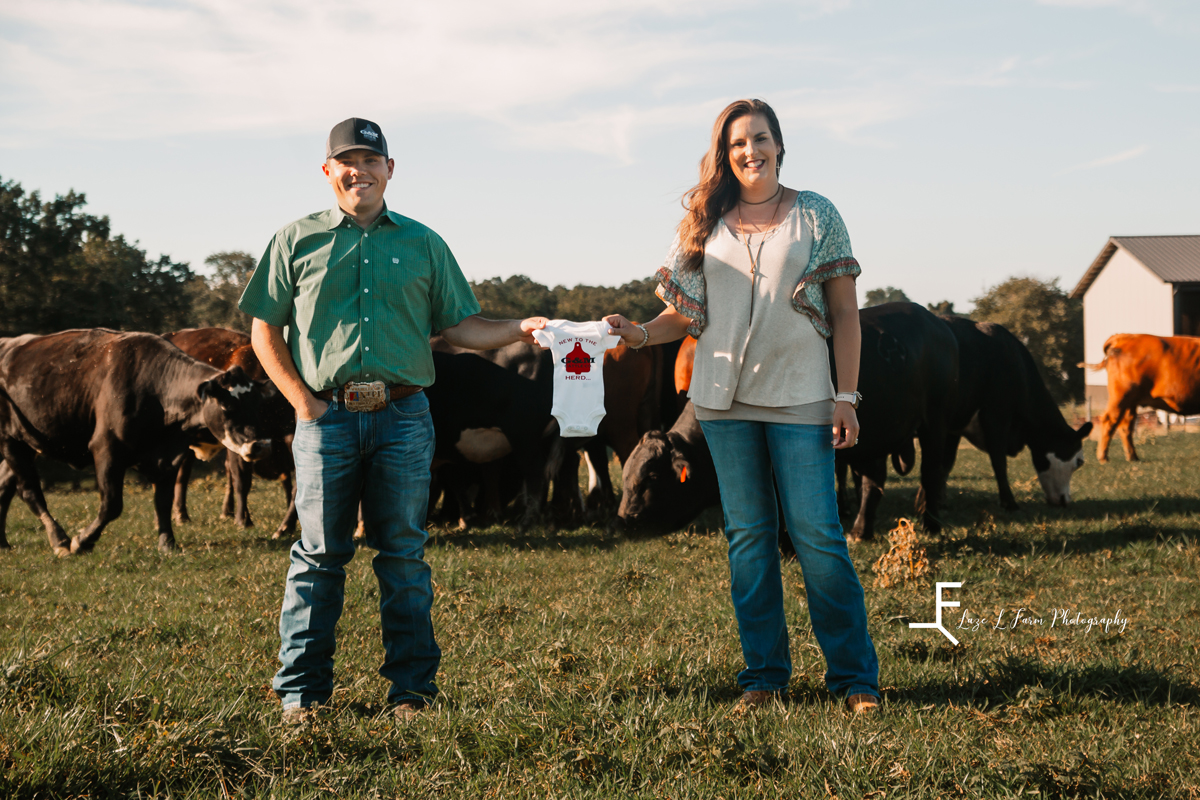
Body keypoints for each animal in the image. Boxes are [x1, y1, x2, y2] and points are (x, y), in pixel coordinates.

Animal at [0, 328, 271, 554]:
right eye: (228, 406)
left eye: (258, 405)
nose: (261, 445)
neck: (156, 390)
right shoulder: (106, 449)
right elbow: (111, 504)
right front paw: (83, 540)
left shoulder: (170, 455)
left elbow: (163, 500)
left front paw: (167, 543)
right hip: (12, 441)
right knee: (30, 492)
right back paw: (59, 539)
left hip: (27, 444)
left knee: (5, 485)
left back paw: (4, 543)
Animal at [162, 328, 300, 542]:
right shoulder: (240, 444)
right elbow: (242, 480)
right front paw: (244, 520)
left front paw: (287, 525)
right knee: (182, 474)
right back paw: (182, 515)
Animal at [940, 316, 1094, 510]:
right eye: (1079, 462)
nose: (1065, 500)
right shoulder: (996, 417)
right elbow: (999, 461)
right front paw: (1009, 503)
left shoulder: (955, 427)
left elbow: (946, 462)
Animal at [1089, 335, 1200, 465]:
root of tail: (1125, 336)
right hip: (1121, 396)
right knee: (1110, 420)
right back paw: (1103, 457)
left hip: (1130, 401)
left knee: (1126, 425)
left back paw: (1132, 457)